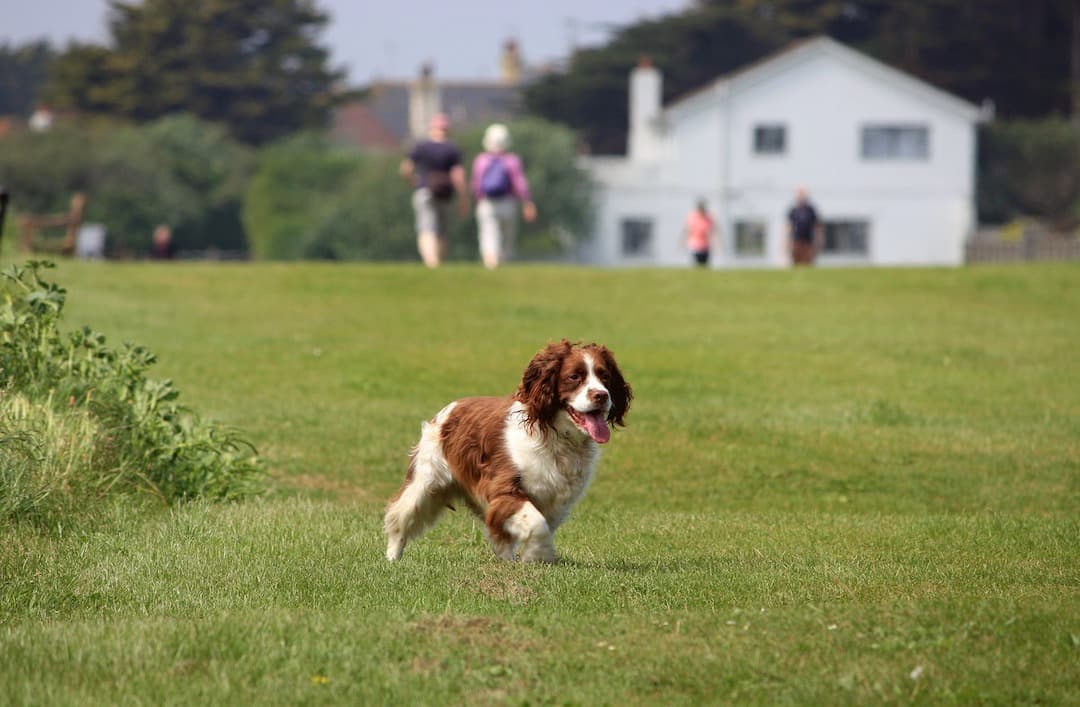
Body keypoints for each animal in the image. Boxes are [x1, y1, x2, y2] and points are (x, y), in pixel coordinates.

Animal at [384, 341, 630, 565]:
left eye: (605, 376)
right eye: (574, 376)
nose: (602, 395)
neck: (556, 438)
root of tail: (451, 408)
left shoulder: (556, 502)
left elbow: (536, 526)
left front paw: (532, 558)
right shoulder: (505, 491)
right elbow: (537, 525)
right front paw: (538, 557)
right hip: (425, 483)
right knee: (399, 518)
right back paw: (392, 558)